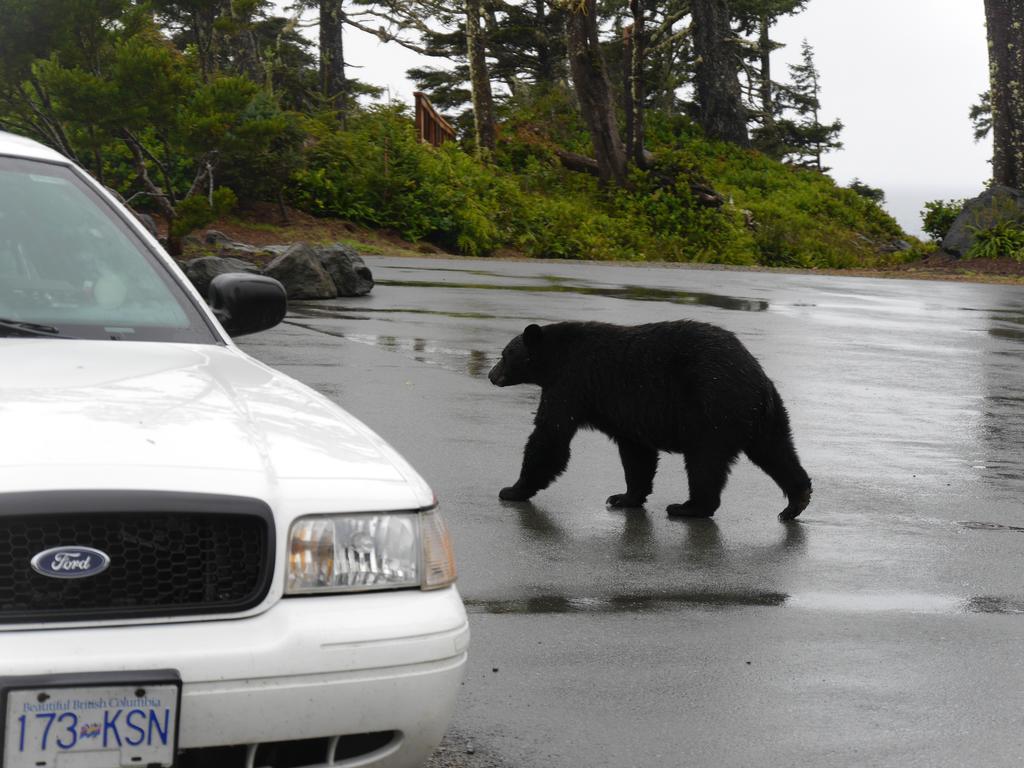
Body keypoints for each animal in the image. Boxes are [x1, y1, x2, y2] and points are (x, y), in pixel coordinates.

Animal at [489, 319, 815, 524]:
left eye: (504, 354)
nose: (491, 375)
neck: (555, 356)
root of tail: (758, 380)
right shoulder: (629, 413)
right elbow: (636, 454)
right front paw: (624, 497)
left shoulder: (572, 382)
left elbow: (550, 436)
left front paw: (513, 490)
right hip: (763, 418)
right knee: (777, 452)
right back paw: (796, 501)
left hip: (713, 411)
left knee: (705, 463)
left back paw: (688, 507)